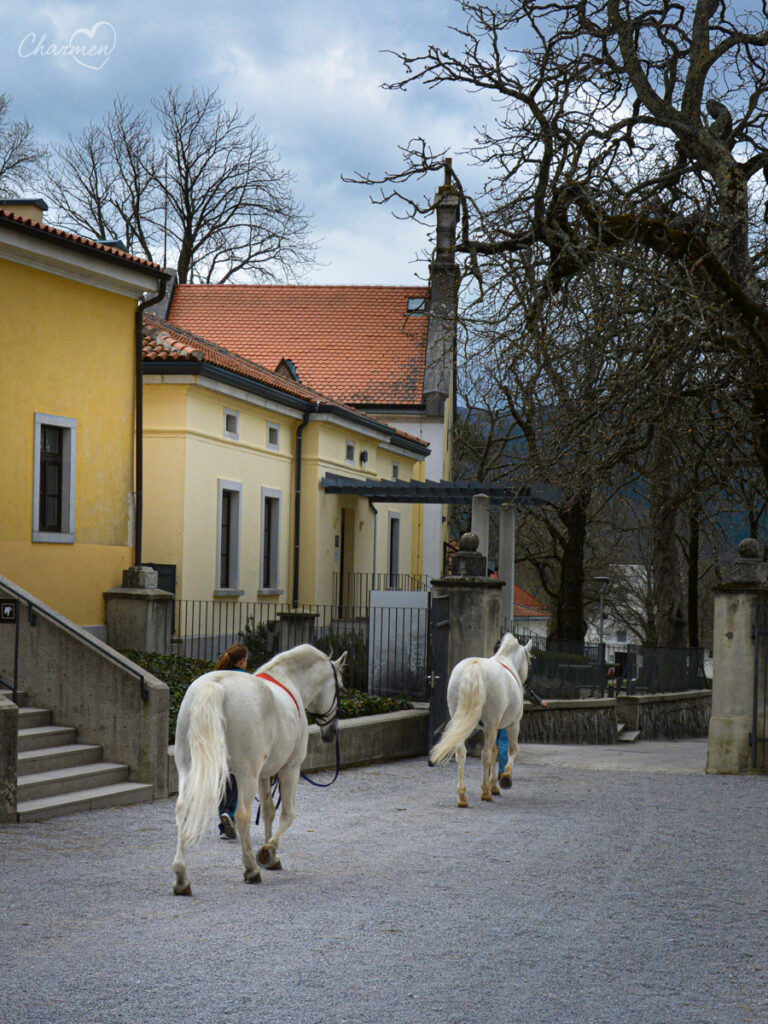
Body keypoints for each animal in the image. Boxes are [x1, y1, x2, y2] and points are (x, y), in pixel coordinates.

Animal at [173, 643, 348, 892]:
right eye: (340, 688)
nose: (331, 732)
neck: (289, 680)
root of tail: (215, 685)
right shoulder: (290, 768)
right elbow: (287, 813)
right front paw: (268, 851)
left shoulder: (264, 774)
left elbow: (267, 811)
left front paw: (272, 857)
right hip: (246, 774)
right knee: (243, 814)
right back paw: (251, 869)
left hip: (188, 768)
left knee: (183, 809)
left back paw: (181, 877)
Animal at [430, 630, 532, 806]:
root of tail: (474, 666)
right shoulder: (512, 724)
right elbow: (510, 750)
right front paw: (504, 779)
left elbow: (495, 751)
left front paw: (494, 785)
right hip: (492, 724)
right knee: (485, 754)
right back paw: (485, 792)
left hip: (461, 722)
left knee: (461, 753)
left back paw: (462, 796)